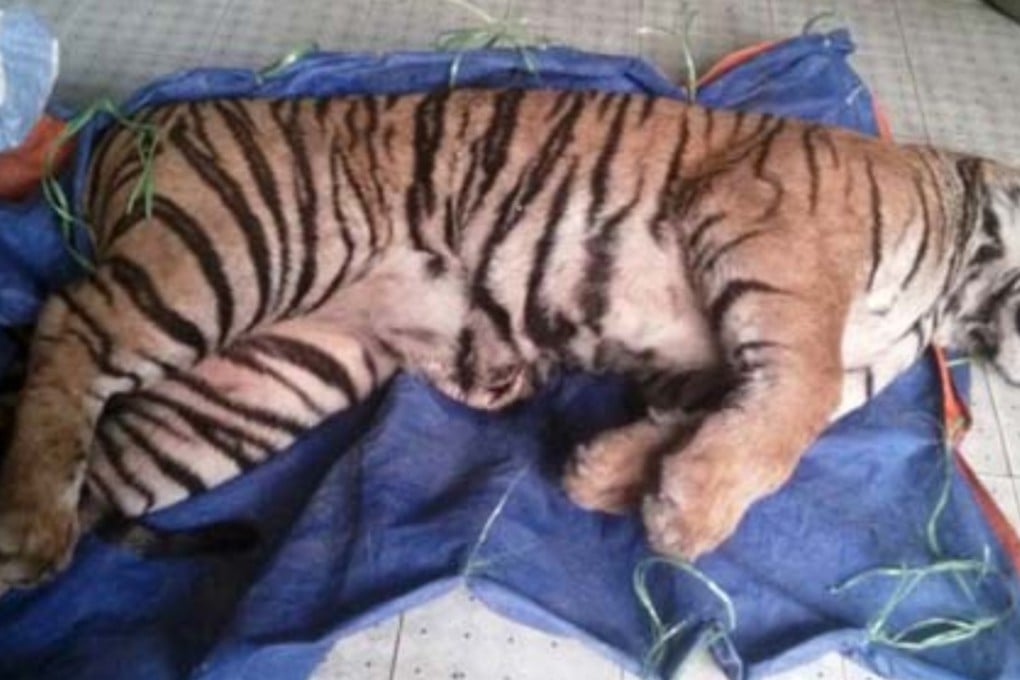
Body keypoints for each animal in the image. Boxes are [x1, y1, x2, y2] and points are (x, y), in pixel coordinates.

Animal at [0, 88, 1018, 590]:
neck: (954, 294)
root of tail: (137, 121)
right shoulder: (775, 237)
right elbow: (796, 406)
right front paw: (690, 515)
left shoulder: (723, 365)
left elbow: (721, 417)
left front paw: (616, 477)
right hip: (239, 250)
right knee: (66, 323)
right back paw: (30, 524)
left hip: (263, 377)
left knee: (104, 461)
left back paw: (36, 546)